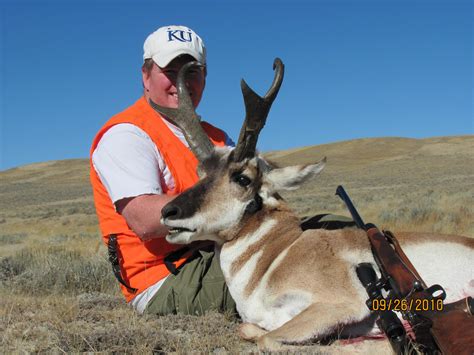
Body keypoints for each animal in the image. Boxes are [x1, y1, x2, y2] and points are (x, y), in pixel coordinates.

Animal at [151, 59, 474, 352]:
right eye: (200, 172)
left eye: (242, 178)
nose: (168, 212)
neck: (275, 255)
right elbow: (248, 329)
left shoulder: (338, 306)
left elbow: (267, 338)